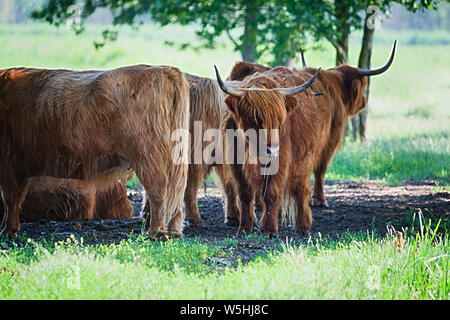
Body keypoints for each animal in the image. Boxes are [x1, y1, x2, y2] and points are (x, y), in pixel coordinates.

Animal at [0, 65, 190, 239]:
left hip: (147, 154)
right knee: (175, 191)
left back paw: (154, 233)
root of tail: (162, 69)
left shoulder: (8, 161)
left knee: (158, 189)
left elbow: (11, 197)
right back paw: (174, 232)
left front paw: (8, 230)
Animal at [216, 41, 396, 235]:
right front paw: (244, 228)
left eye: (280, 119)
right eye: (253, 117)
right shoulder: (236, 163)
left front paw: (269, 228)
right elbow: (245, 193)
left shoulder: (286, 158)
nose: (364, 101)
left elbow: (272, 192)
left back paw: (303, 226)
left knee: (301, 187)